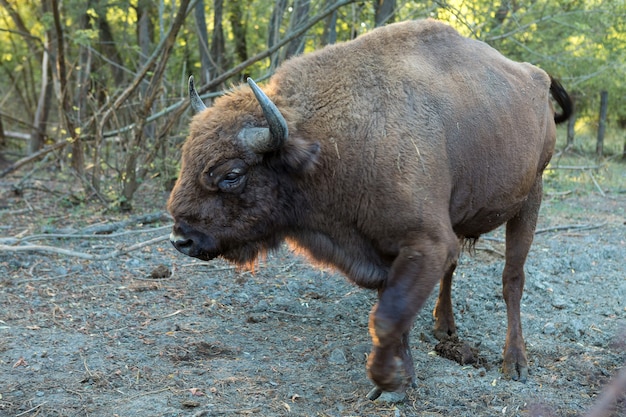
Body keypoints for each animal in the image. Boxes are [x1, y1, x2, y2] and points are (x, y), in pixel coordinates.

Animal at [166, 18, 572, 400]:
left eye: (232, 174)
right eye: (186, 157)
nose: (180, 239)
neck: (326, 144)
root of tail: (537, 77)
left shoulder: (426, 243)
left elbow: (387, 318)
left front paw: (387, 380)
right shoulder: (387, 250)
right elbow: (391, 314)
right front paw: (399, 382)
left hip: (531, 197)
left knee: (512, 280)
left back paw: (515, 363)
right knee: (454, 270)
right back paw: (444, 326)